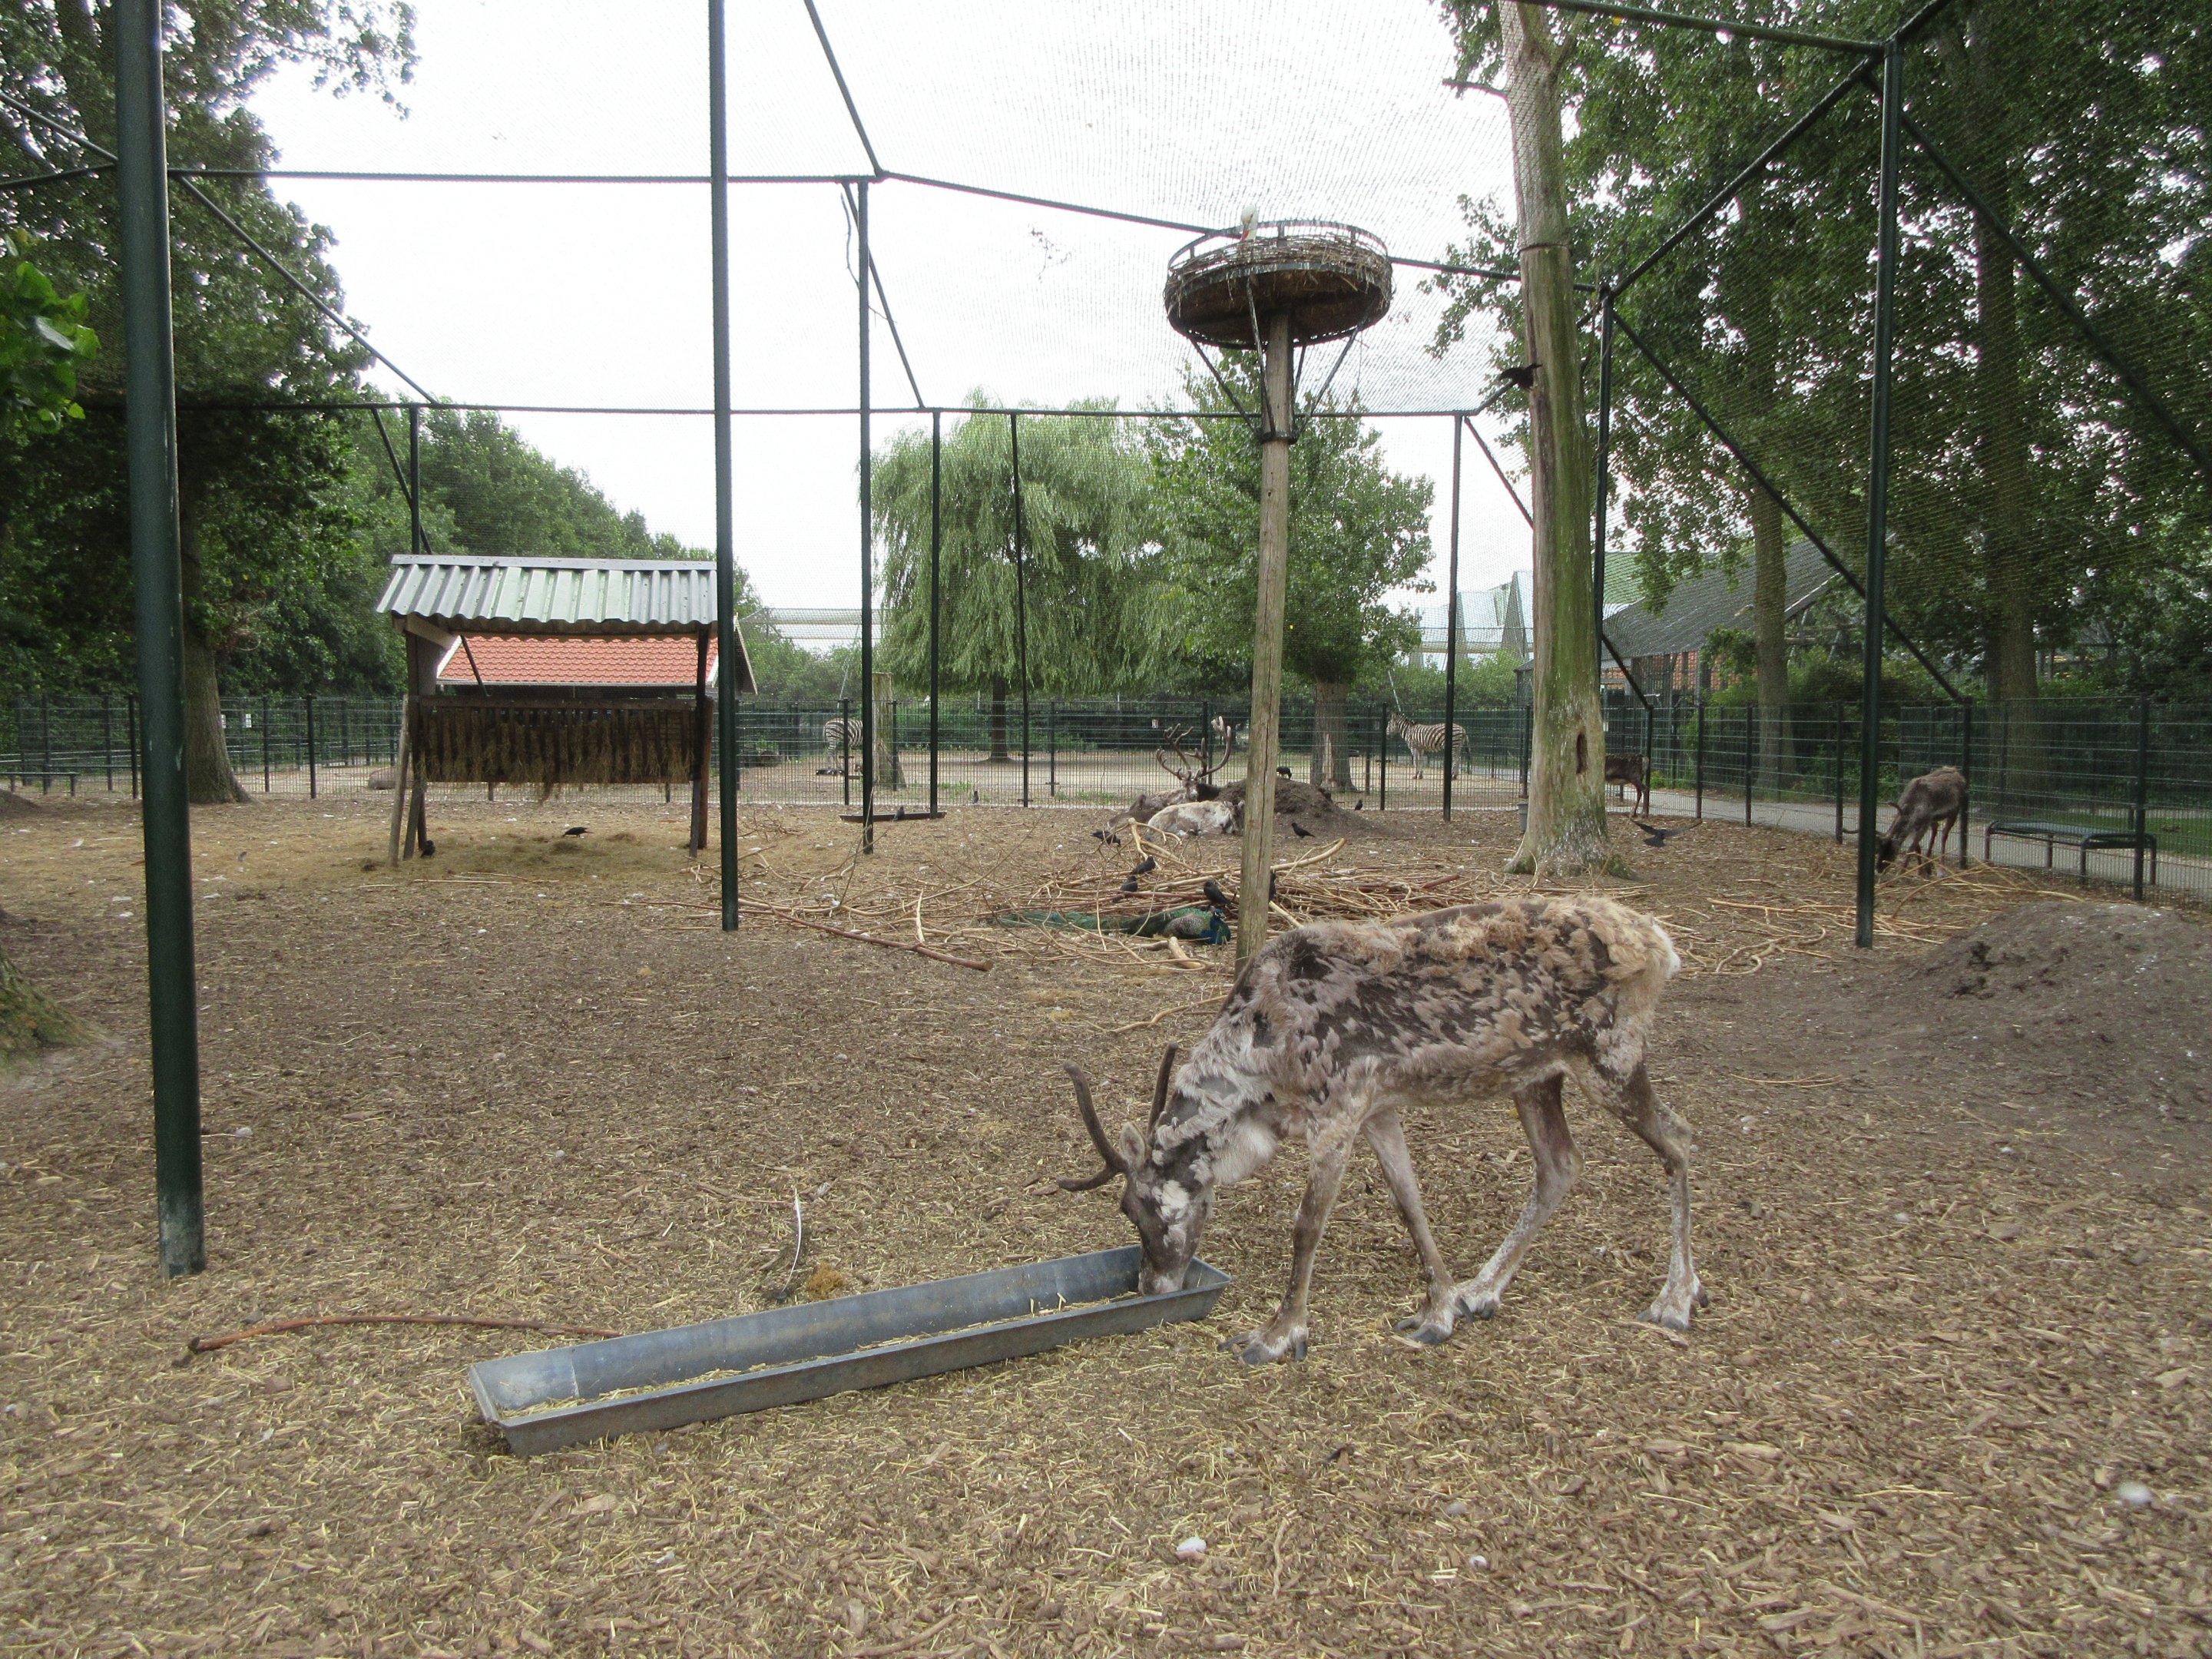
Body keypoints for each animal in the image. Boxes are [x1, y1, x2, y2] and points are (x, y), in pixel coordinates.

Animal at [1057, 896, 1700, 1364]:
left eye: (1135, 1206)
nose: (1151, 1286)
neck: (1260, 1061)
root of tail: (1663, 943)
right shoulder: (1378, 1108)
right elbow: (1410, 1203)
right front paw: (1440, 1311)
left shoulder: (1338, 1111)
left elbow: (1307, 1228)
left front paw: (1278, 1335)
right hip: (1538, 1074)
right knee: (1561, 1165)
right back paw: (1482, 1290)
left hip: (1610, 1057)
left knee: (1678, 1138)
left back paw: (1676, 1298)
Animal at [1877, 765, 1967, 873]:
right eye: (1879, 850)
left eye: (1892, 851)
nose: (1878, 869)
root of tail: (1957, 773)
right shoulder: (1915, 825)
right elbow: (1917, 848)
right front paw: (1920, 871)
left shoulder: (1924, 824)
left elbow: (1911, 848)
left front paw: (1901, 872)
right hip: (1934, 819)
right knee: (1935, 830)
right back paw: (1928, 866)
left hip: (1954, 811)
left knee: (1944, 834)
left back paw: (1942, 869)